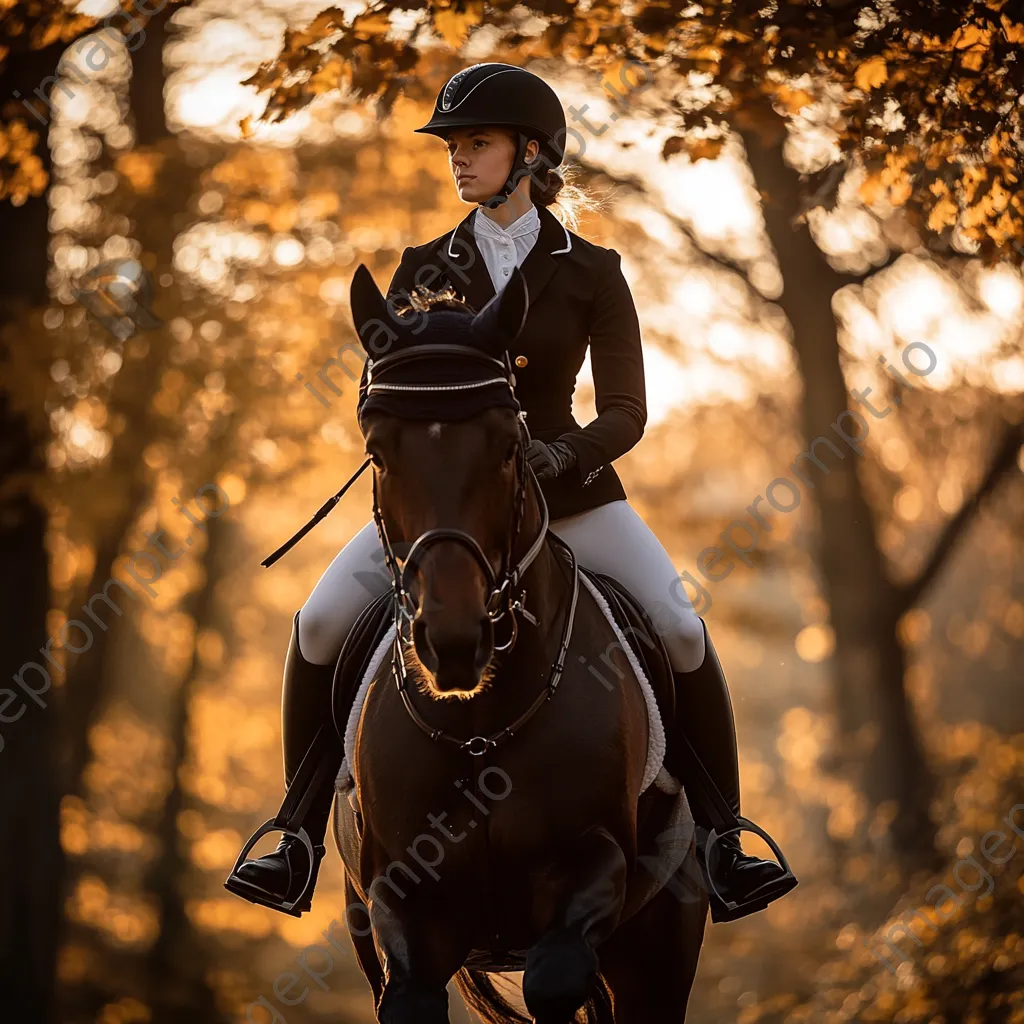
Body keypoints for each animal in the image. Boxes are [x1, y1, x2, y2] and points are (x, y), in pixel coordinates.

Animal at [331, 266, 708, 1024]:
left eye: (510, 446)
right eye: (377, 452)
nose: (454, 641)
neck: (482, 725)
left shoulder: (594, 867)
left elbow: (556, 981)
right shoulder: (400, 903)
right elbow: (411, 996)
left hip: (660, 946)